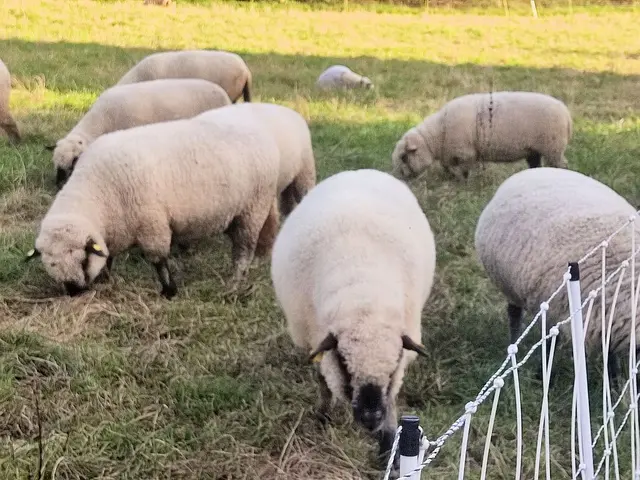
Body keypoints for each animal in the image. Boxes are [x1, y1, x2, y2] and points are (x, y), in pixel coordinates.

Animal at [26, 110, 281, 299]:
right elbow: (109, 257)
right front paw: (106, 278)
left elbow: (159, 262)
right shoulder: (115, 231)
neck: (98, 192)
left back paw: (234, 282)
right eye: (51, 266)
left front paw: (169, 291)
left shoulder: (152, 225)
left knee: (243, 251)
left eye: (82, 259)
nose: (74, 293)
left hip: (251, 210)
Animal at [270, 168, 436, 466]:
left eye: (392, 368)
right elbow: (323, 382)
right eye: (345, 365)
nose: (370, 419)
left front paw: (388, 448)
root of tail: (358, 171)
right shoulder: (316, 340)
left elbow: (392, 403)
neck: (363, 298)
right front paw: (323, 415)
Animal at [392, 91, 572, 181]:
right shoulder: (449, 154)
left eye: (404, 157)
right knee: (536, 165)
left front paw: (463, 184)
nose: (401, 178)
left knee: (561, 165)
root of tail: (567, 114)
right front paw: (450, 177)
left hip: (553, 148)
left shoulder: (466, 153)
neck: (436, 136)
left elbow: (465, 171)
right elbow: (446, 167)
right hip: (534, 150)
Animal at [474, 167, 640, 376]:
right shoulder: (553, 310)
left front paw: (615, 378)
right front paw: (543, 376)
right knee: (514, 314)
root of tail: (534, 170)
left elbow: (608, 351)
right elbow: (549, 344)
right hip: (508, 286)